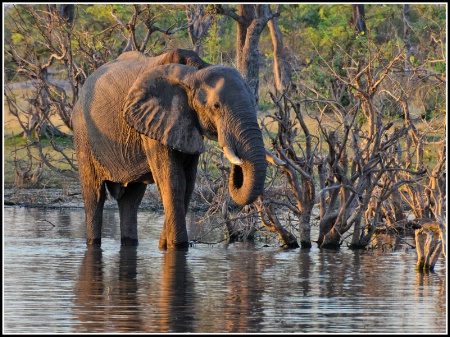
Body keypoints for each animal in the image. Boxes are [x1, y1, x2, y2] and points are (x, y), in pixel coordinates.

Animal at [73, 48, 278, 249]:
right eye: (216, 106)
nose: (237, 161)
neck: (195, 72)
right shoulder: (154, 124)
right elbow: (173, 181)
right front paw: (177, 247)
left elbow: (187, 183)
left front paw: (164, 245)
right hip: (83, 134)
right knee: (94, 196)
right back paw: (93, 241)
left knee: (131, 200)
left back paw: (130, 242)